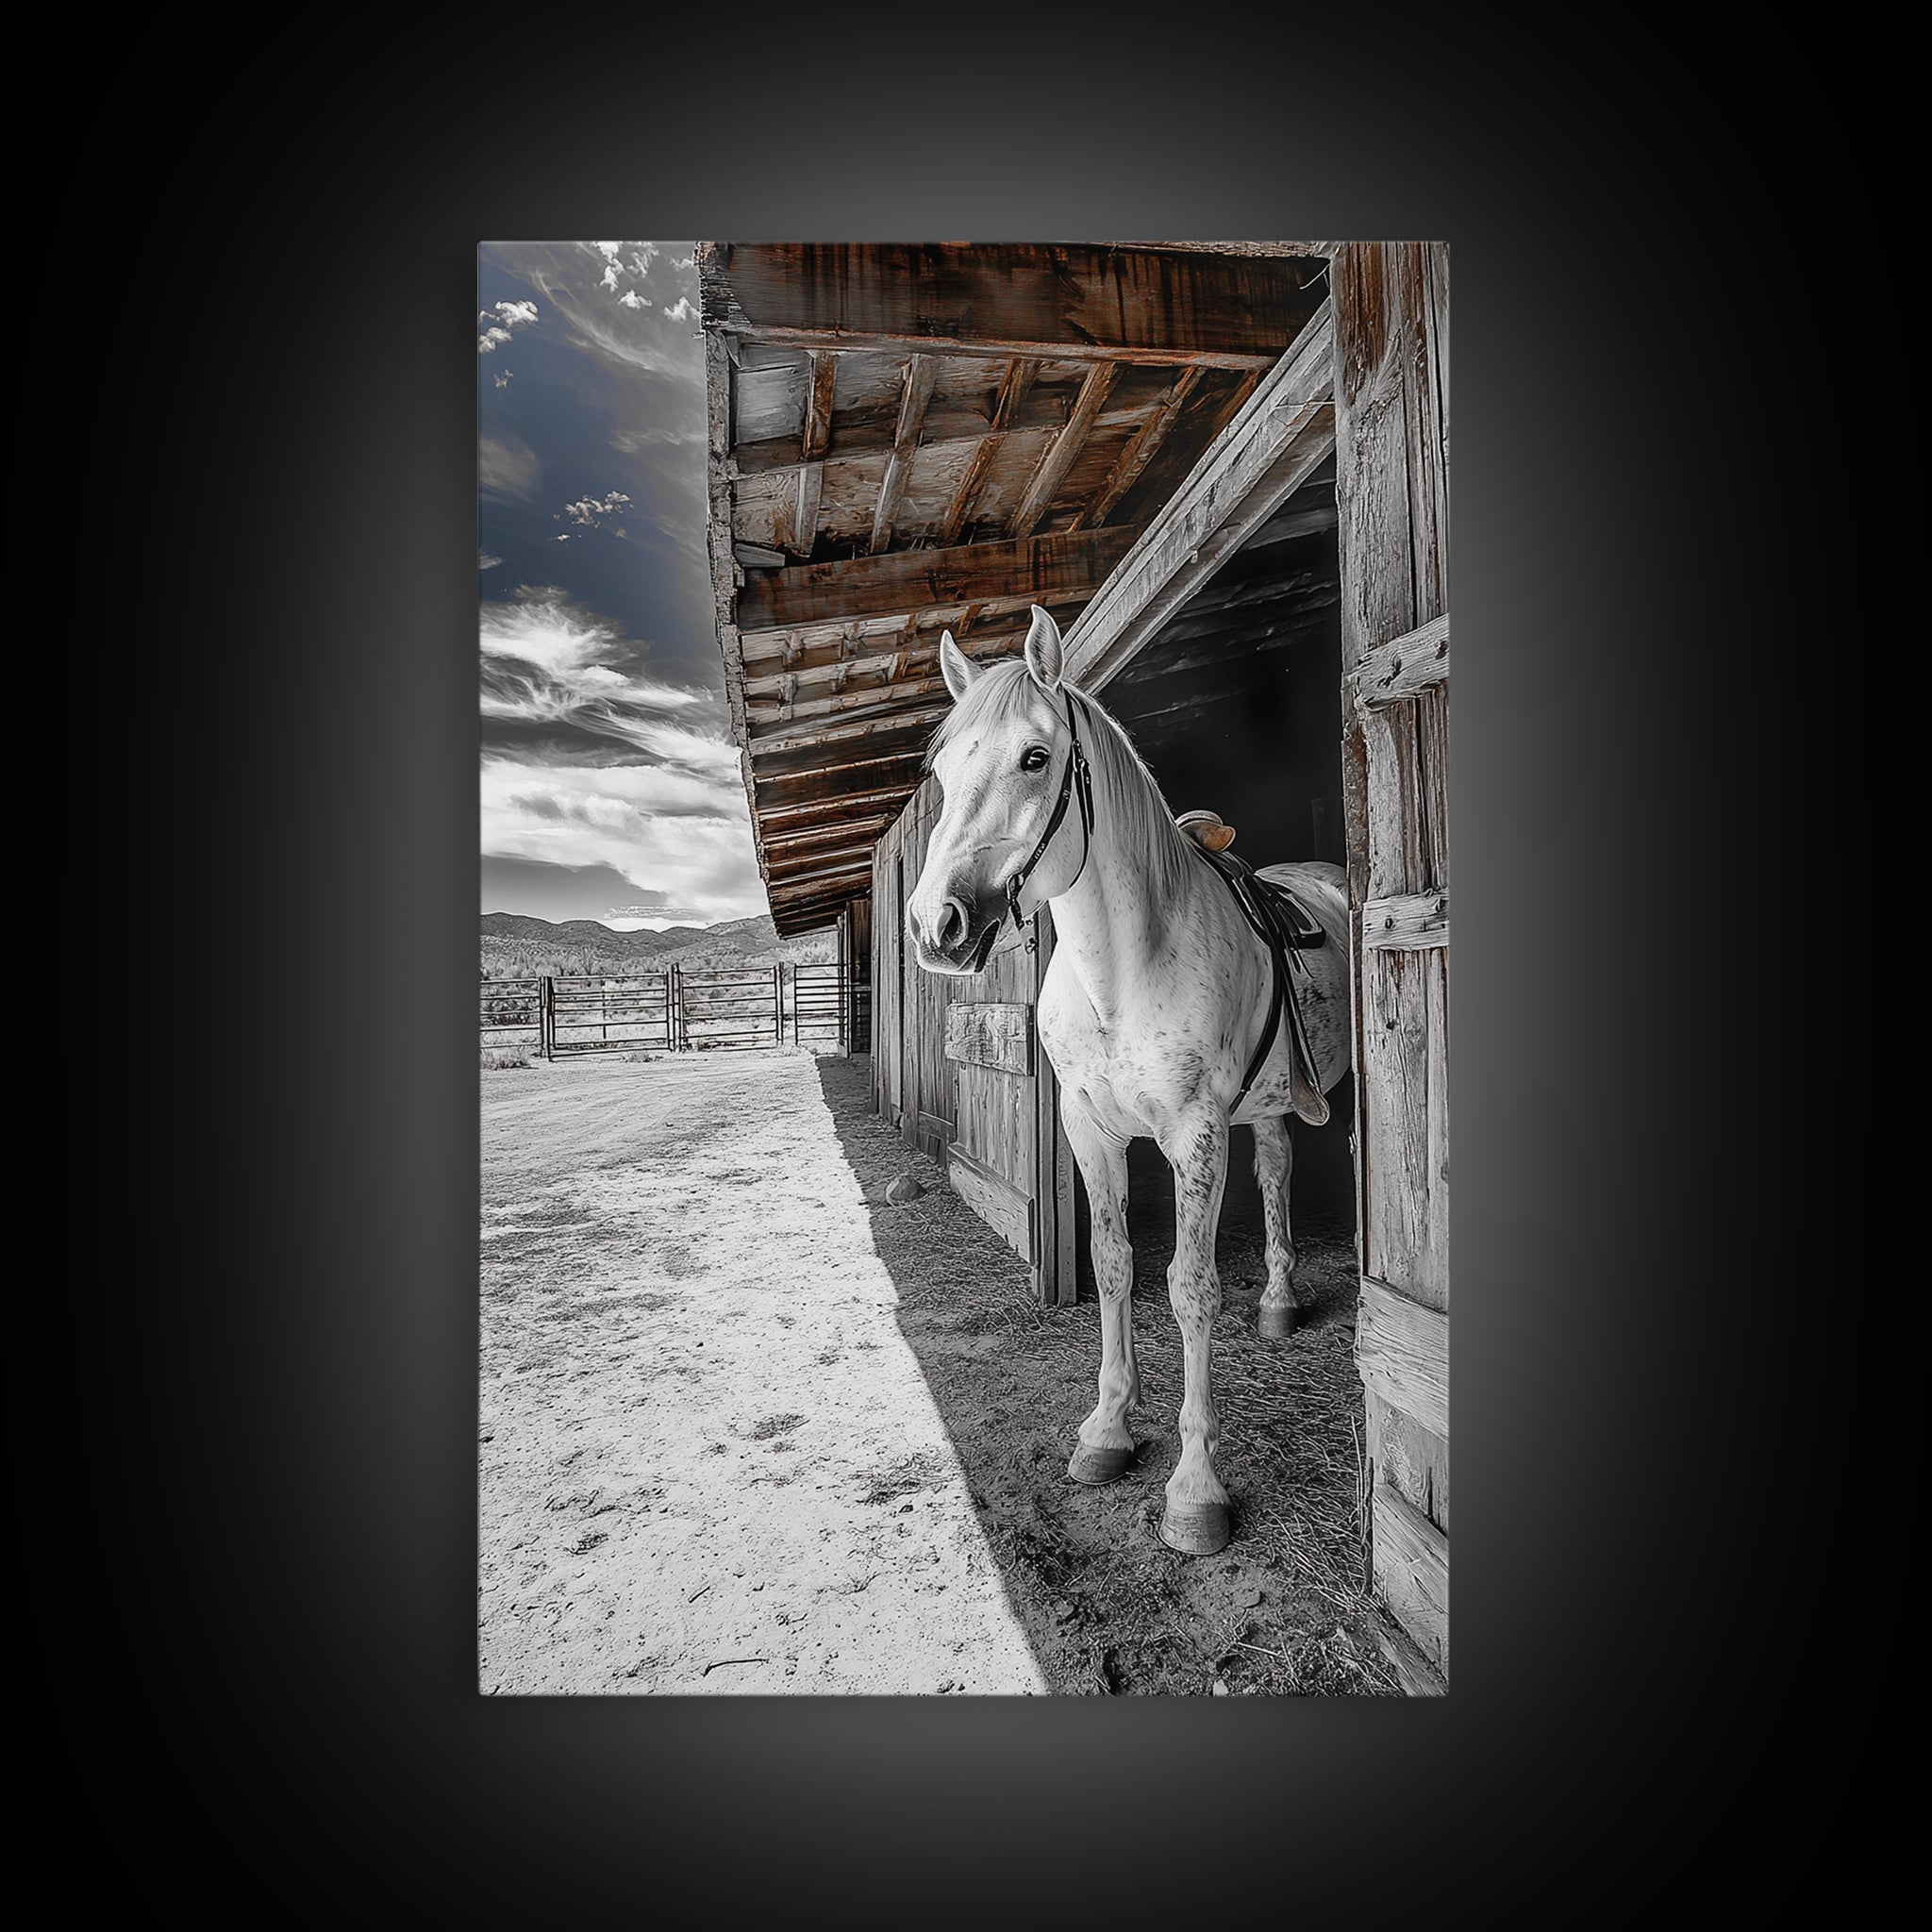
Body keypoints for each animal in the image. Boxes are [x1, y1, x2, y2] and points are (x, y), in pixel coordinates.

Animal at [905, 604, 1353, 1557]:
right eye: (943, 770)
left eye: (1035, 758)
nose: (934, 925)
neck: (1122, 967)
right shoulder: (1090, 1130)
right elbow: (1112, 1266)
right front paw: (1109, 1429)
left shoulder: (1193, 1135)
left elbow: (1189, 1288)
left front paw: (1195, 1487)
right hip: (1264, 1110)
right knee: (1276, 1171)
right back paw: (1280, 1301)